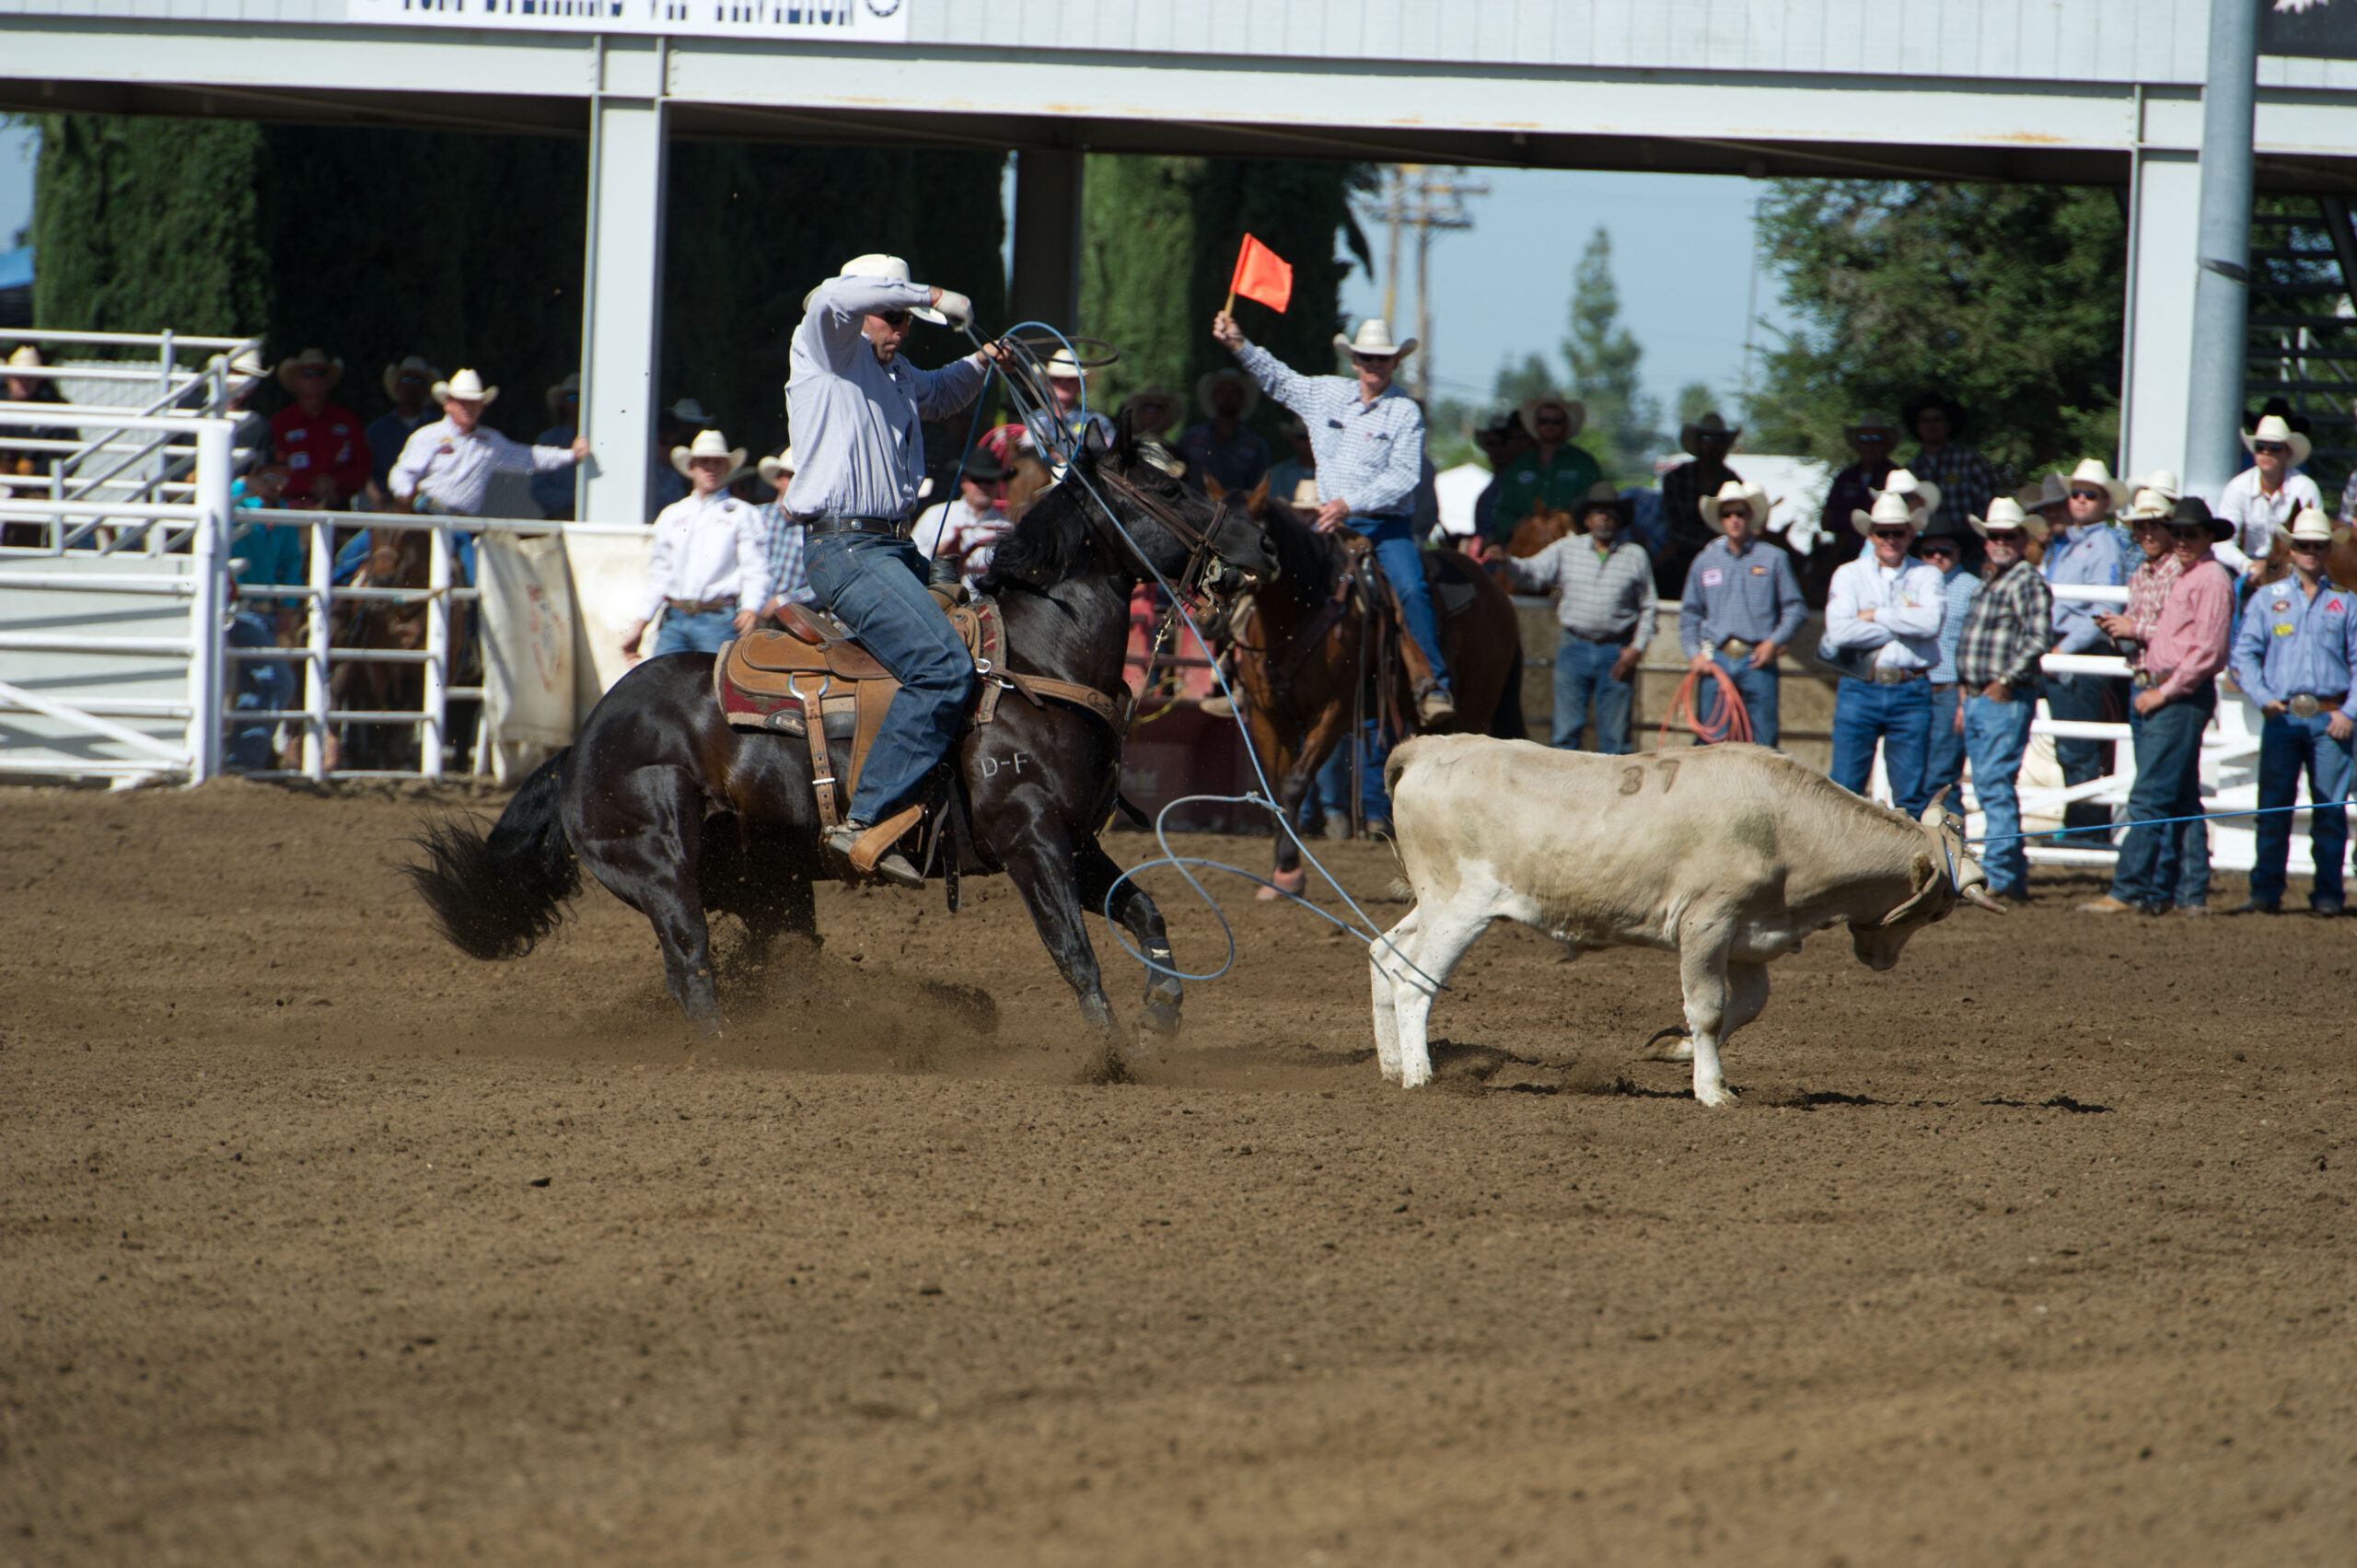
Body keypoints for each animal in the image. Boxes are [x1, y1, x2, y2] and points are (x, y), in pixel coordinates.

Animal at [402, 414, 1278, 1044]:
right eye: (1171, 492)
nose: (1265, 545)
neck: (1035, 664)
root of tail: (580, 744)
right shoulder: (1031, 839)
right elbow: (1074, 952)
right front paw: (1111, 1055)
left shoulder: (1078, 841)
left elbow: (1144, 911)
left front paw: (1162, 1013)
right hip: (658, 866)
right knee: (692, 967)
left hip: (767, 881)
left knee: (766, 963)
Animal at [1218, 476, 1525, 896]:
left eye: (1251, 530)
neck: (1300, 612)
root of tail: (1495, 588)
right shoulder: (1267, 715)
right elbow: (1275, 788)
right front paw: (1281, 872)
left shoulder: (1334, 711)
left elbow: (1295, 783)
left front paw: (1289, 871)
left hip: (1477, 705)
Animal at [1367, 735, 2000, 1107]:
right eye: (1939, 909)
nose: (1881, 959)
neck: (1787, 824)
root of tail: (1428, 748)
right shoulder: (1707, 922)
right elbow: (1710, 1008)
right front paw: (1712, 1090)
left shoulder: (1750, 938)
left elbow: (1746, 1007)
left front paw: (1670, 1049)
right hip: (1460, 907)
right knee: (1414, 982)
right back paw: (1421, 1077)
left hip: (1432, 904)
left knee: (1382, 955)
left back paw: (1392, 1066)